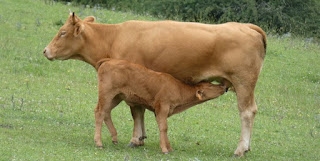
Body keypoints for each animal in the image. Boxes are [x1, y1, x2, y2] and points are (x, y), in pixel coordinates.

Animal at [95, 57, 228, 153]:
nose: (224, 87)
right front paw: (165, 149)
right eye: (210, 85)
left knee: (106, 112)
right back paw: (99, 143)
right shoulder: (162, 107)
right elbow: (164, 127)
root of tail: (109, 61)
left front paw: (169, 148)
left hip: (116, 97)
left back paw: (114, 138)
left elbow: (164, 128)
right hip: (107, 94)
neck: (178, 89)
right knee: (99, 113)